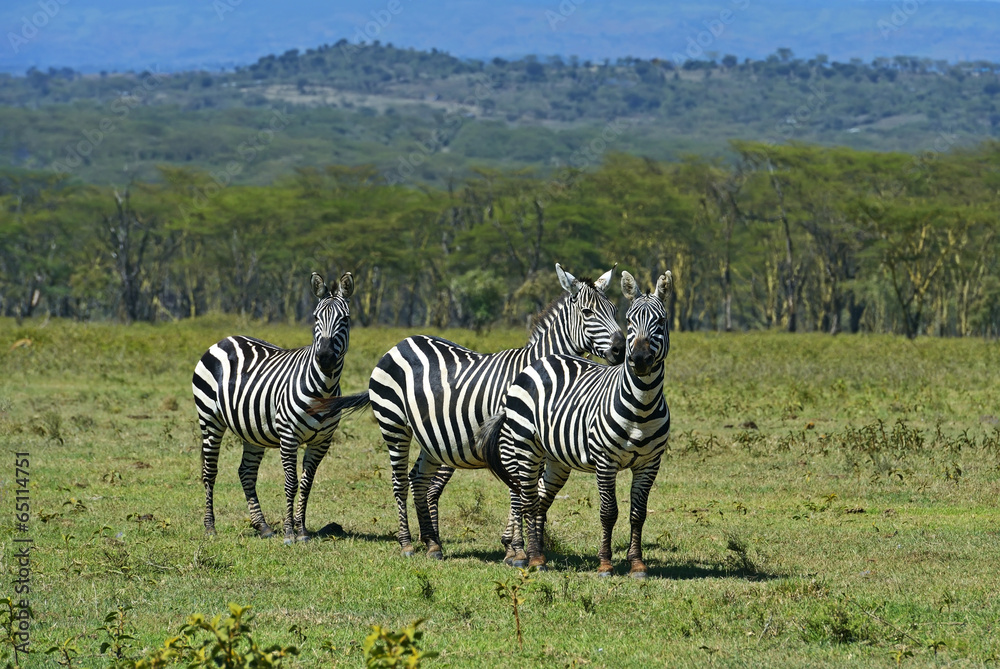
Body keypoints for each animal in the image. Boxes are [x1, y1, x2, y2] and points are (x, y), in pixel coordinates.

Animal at [192, 271, 365, 544]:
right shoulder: (289, 436)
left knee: (246, 472)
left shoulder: (322, 441)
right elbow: (291, 483)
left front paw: (302, 531)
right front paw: (289, 532)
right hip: (209, 419)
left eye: (345, 319)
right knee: (210, 471)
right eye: (315, 318)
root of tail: (225, 339)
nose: (325, 357)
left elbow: (306, 483)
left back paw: (262, 526)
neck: (324, 389)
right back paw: (210, 527)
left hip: (251, 429)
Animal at [369, 263, 626, 559]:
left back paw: (432, 543)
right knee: (399, 480)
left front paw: (514, 544)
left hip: (431, 437)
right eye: (587, 312)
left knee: (419, 479)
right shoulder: (509, 438)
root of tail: (404, 341)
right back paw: (407, 544)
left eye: (615, 310)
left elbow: (530, 491)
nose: (621, 350)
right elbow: (518, 489)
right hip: (393, 423)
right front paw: (517, 549)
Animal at [480, 268, 672, 578]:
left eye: (662, 321)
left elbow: (638, 514)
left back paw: (537, 553)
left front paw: (637, 564)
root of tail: (541, 359)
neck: (642, 405)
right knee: (527, 498)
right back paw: (532, 557)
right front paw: (605, 564)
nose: (639, 359)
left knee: (539, 500)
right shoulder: (605, 461)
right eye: (630, 319)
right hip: (524, 447)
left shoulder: (649, 463)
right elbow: (609, 512)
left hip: (555, 458)